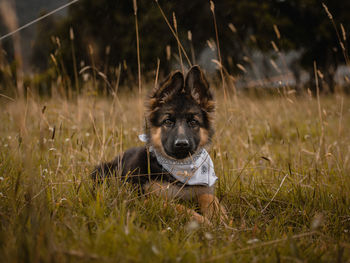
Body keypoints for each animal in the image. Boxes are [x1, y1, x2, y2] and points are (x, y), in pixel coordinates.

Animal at [91, 65, 227, 225]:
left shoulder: (202, 190)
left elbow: (210, 198)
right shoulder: (143, 199)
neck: (179, 169)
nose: (182, 144)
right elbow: (176, 207)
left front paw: (220, 217)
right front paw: (202, 221)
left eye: (193, 122)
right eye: (168, 121)